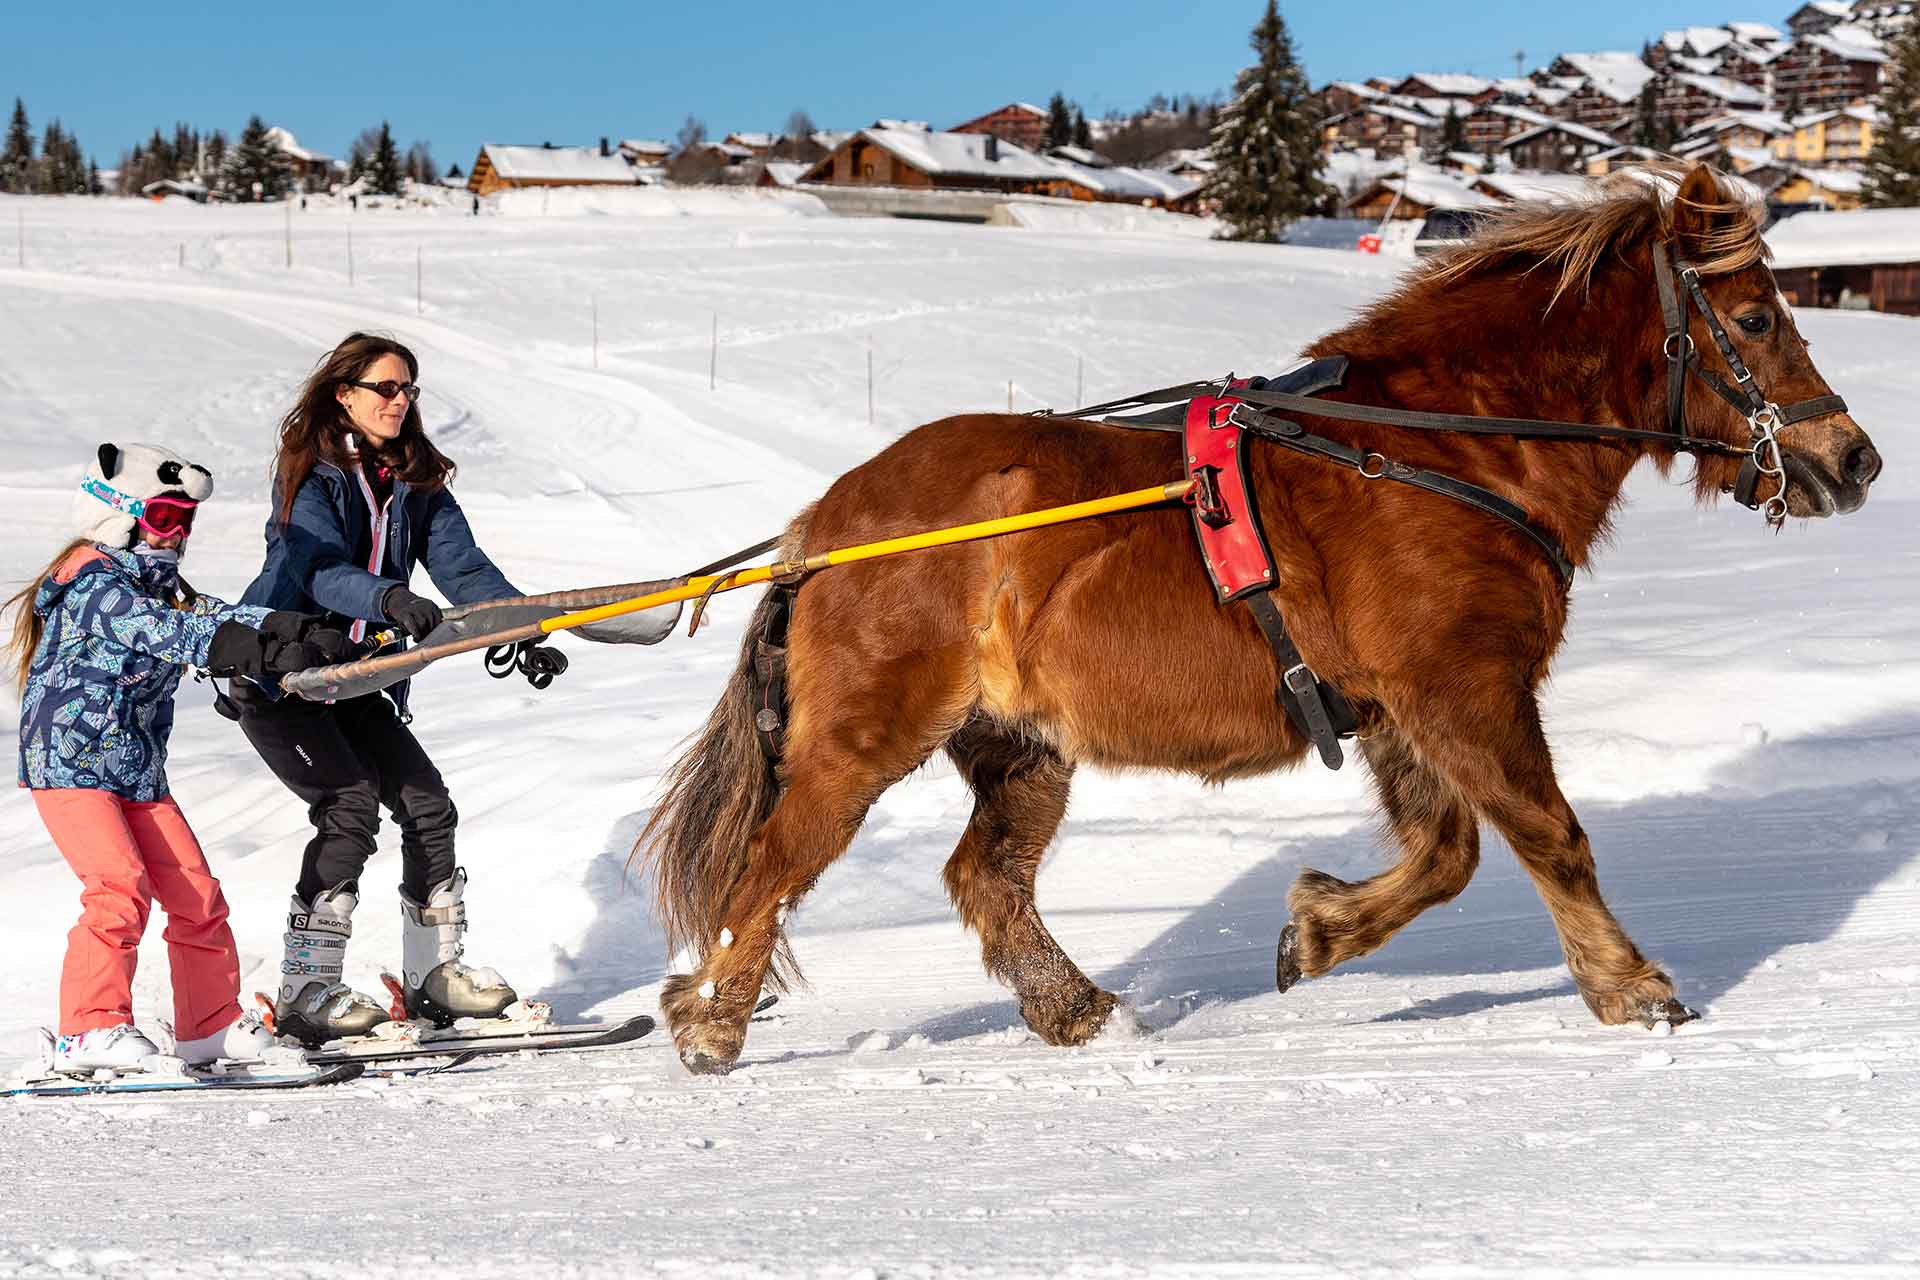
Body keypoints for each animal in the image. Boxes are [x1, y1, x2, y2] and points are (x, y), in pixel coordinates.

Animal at [637, 165, 1881, 1074]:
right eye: (1757, 315)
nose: (1855, 457)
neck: (1442, 448)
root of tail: (827, 523)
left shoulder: (1398, 710)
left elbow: (1449, 853)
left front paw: (1317, 930)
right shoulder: (1464, 686)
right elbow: (1547, 836)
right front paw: (1634, 988)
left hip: (1022, 747)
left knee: (988, 877)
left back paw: (1077, 1009)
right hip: (864, 737)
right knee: (774, 861)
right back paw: (709, 1020)